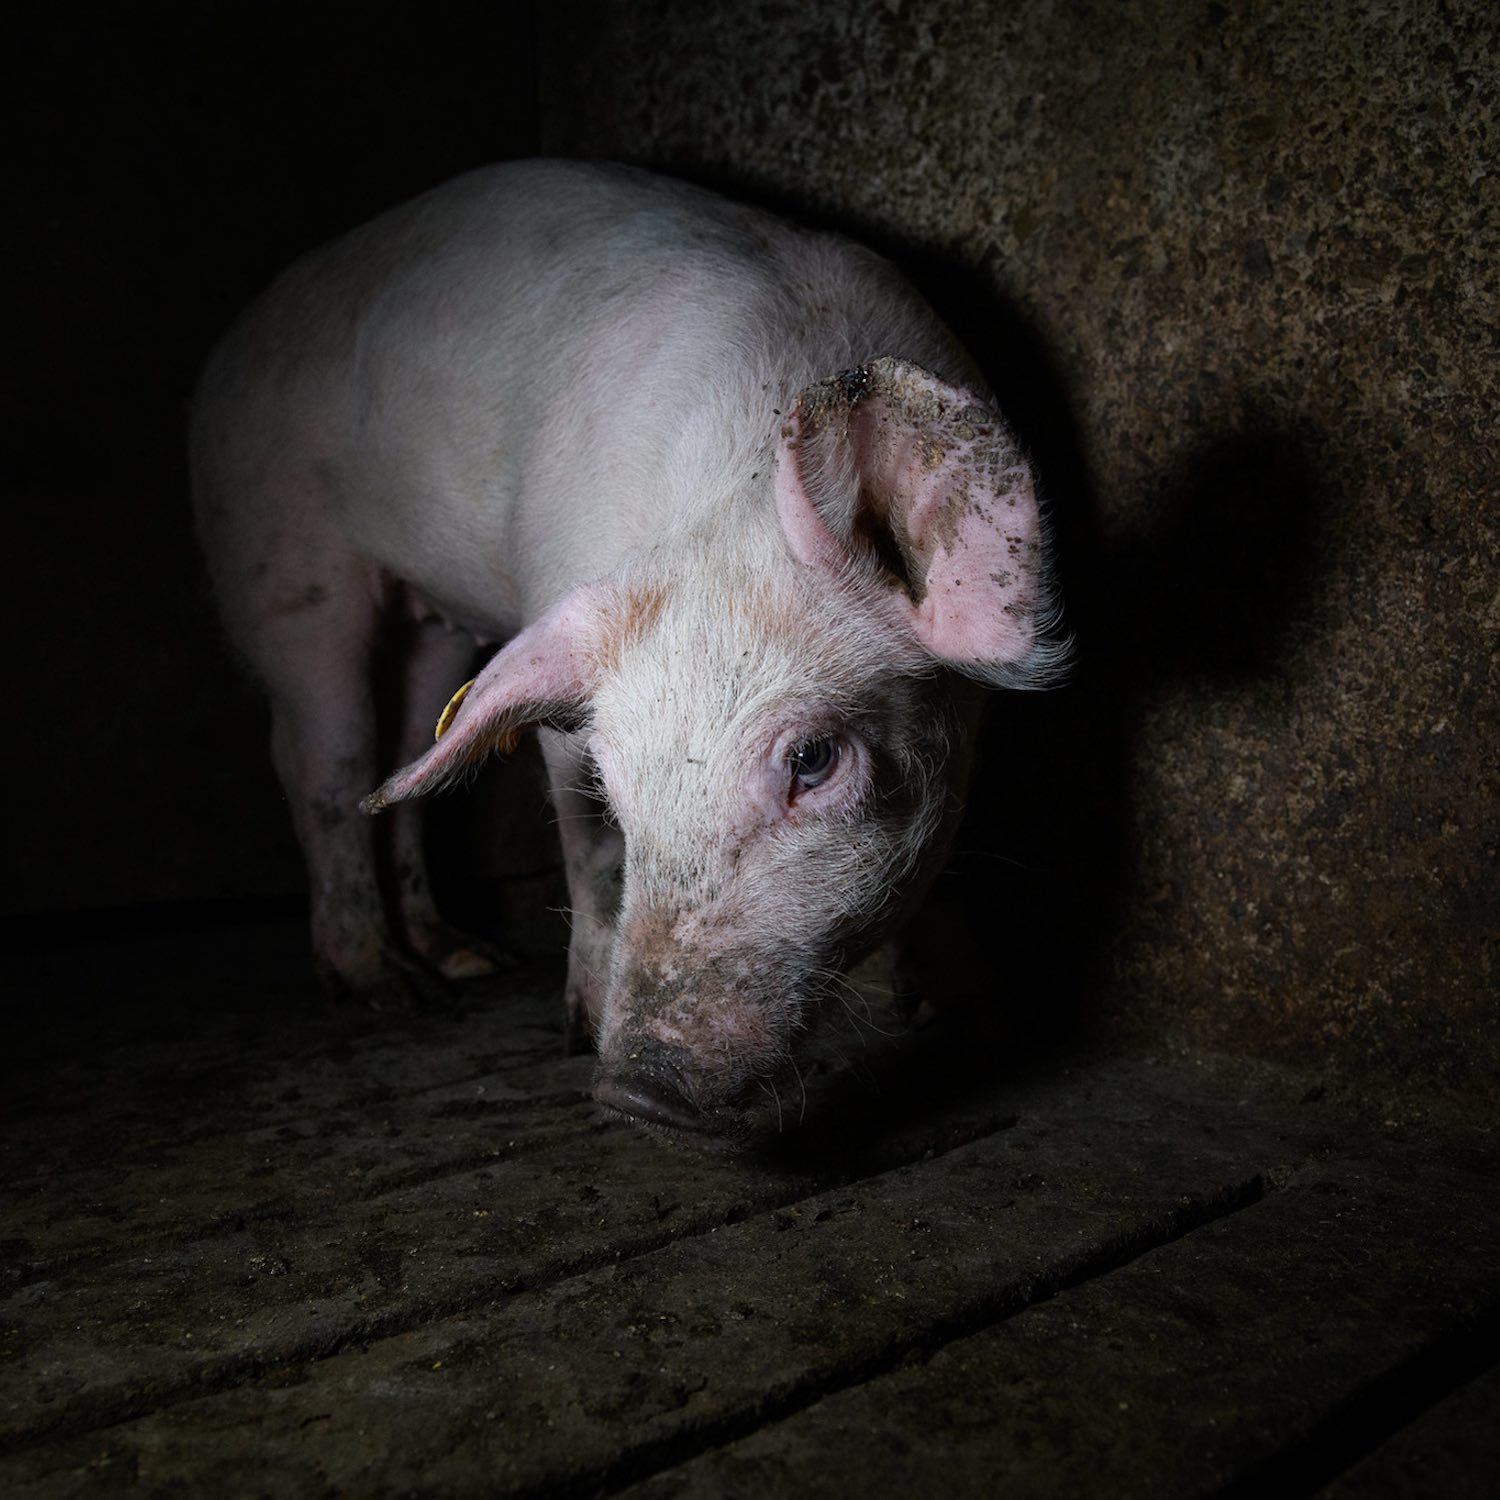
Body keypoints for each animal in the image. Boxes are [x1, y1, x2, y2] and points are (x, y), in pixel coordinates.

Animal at [191, 160, 1067, 1145]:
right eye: (616, 784)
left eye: (813, 759)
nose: (639, 1094)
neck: (739, 500)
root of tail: (224, 358)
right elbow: (587, 844)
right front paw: (575, 1028)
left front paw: (965, 1010)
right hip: (279, 564)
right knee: (323, 763)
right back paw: (388, 991)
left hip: (431, 627)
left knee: (407, 760)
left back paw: (464, 964)